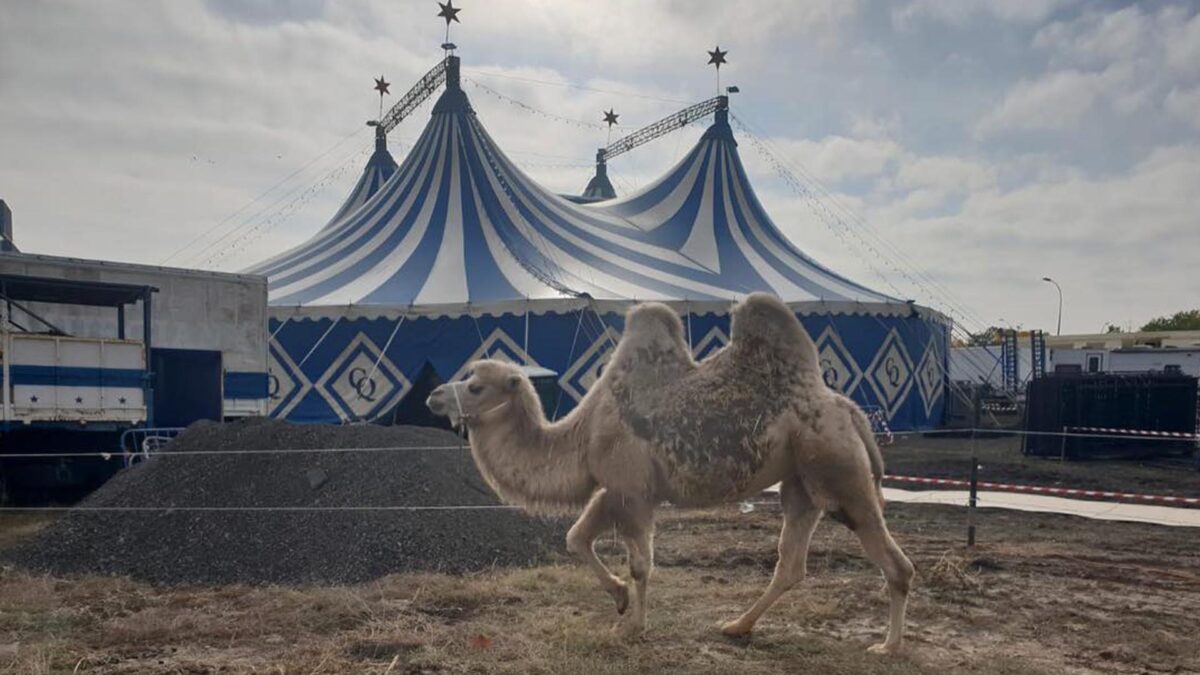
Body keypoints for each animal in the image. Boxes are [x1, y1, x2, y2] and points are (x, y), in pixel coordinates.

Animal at [427, 291, 912, 648]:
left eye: (476, 386)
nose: (433, 395)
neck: (581, 435)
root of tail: (851, 411)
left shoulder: (632, 491)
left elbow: (641, 564)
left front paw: (632, 626)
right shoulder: (614, 490)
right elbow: (575, 538)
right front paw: (619, 599)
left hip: (838, 470)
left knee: (894, 561)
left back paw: (887, 647)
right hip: (802, 483)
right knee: (791, 563)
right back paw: (737, 625)